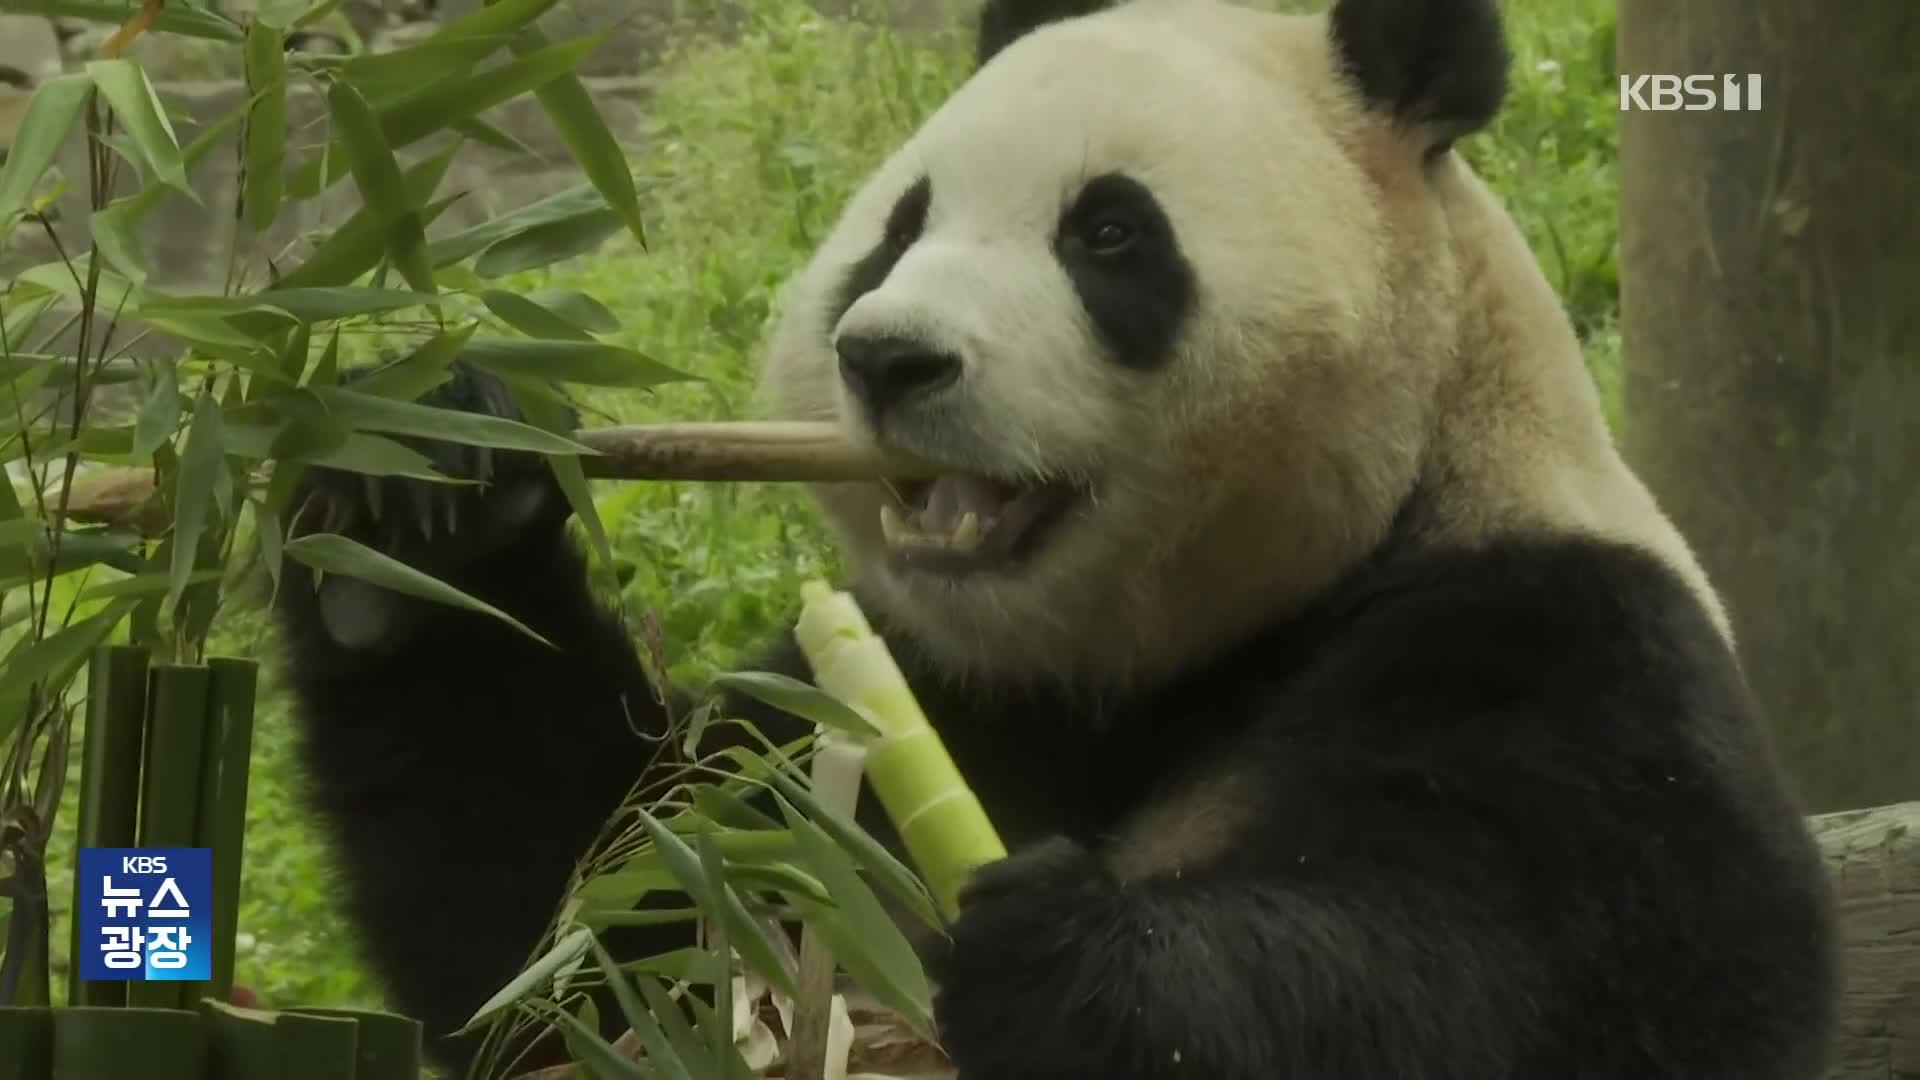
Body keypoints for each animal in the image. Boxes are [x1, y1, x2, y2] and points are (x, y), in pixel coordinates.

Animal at [274, 0, 1843, 1068]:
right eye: (901, 225)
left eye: (1108, 235)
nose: (890, 357)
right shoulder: (870, 688)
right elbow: (579, 941)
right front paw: (420, 486)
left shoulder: (1556, 634)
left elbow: (1584, 981)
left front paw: (1076, 972)